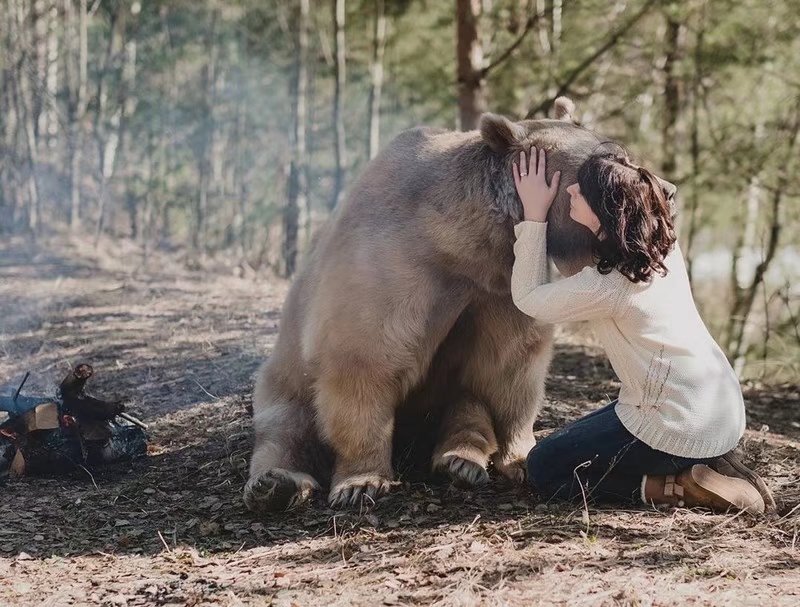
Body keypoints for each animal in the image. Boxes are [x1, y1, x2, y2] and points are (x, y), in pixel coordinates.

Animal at [244, 100, 676, 512]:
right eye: (615, 158)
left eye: (625, 153)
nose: (669, 190)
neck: (461, 248)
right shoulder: (393, 269)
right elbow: (365, 359)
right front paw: (360, 482)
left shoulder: (499, 291)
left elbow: (511, 368)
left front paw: (519, 456)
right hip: (284, 381)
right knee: (285, 428)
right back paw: (275, 484)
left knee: (468, 401)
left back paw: (460, 460)